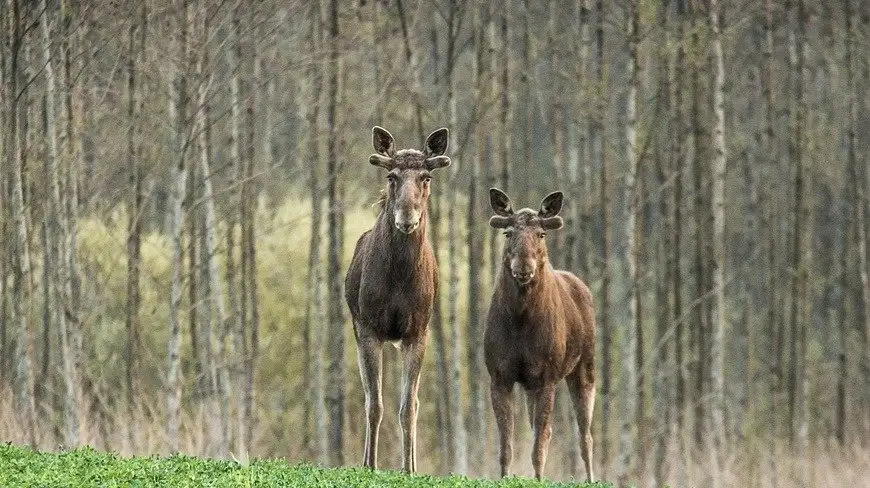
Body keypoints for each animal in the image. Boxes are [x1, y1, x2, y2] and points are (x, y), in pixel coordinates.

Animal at [342, 125, 450, 472]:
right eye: (392, 176)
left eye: (426, 177)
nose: (406, 217)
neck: (400, 277)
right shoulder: (369, 329)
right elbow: (374, 403)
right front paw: (371, 464)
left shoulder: (417, 333)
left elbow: (408, 406)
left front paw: (409, 468)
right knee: (369, 397)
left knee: (412, 400)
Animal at [484, 189, 600, 482]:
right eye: (508, 233)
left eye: (541, 234)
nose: (524, 266)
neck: (521, 320)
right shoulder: (499, 376)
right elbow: (506, 444)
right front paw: (505, 477)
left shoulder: (547, 377)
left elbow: (539, 443)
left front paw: (538, 477)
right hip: (530, 385)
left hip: (584, 367)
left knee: (585, 435)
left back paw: (591, 477)